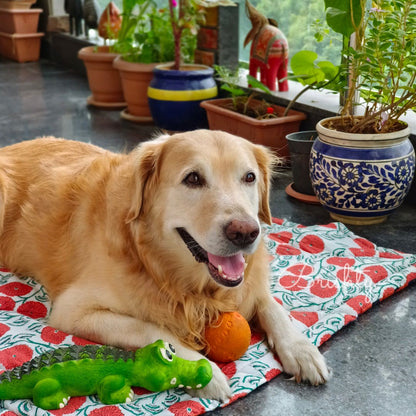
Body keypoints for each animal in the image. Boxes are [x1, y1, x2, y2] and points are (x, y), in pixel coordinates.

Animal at [0, 132, 330, 402]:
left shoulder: (249, 285)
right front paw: (203, 369)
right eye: (193, 179)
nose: (246, 232)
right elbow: (152, 328)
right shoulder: (73, 310)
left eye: (249, 177)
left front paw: (301, 349)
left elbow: (273, 306)